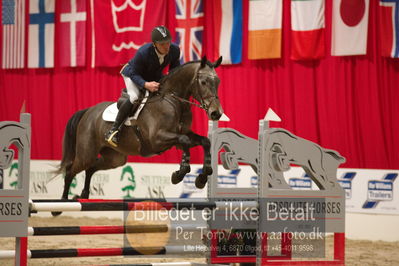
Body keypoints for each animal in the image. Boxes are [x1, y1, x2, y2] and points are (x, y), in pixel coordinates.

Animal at [55, 55, 225, 206]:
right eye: (203, 82)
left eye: (218, 82)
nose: (216, 113)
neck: (173, 101)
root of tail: (88, 111)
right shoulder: (157, 139)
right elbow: (185, 141)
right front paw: (179, 174)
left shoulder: (179, 136)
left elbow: (204, 141)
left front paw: (202, 177)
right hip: (86, 154)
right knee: (70, 171)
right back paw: (62, 203)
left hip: (115, 158)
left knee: (91, 168)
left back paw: (83, 195)